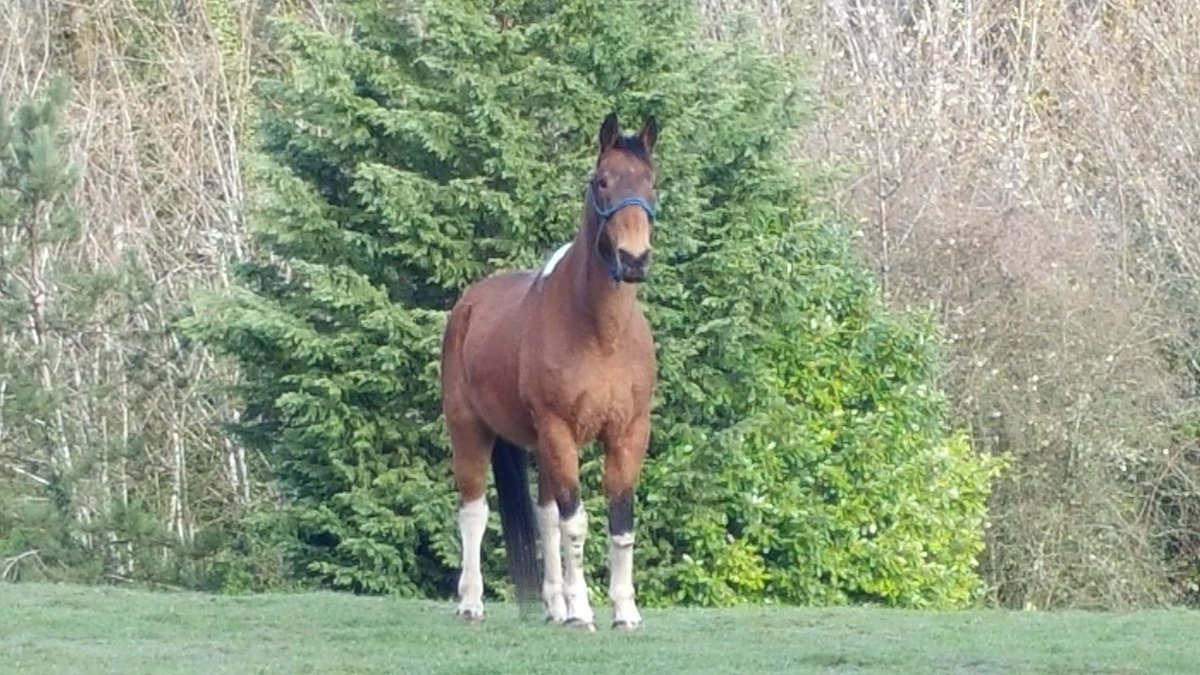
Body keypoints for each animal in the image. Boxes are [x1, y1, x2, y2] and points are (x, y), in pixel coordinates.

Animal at [441, 111, 662, 629]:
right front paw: (583, 611)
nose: (634, 259)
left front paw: (624, 610)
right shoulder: (560, 430)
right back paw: (472, 602)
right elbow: (575, 523)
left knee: (544, 519)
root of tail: (469, 304)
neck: (600, 334)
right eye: (603, 182)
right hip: (470, 430)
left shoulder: (628, 433)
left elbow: (620, 524)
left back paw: (553, 607)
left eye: (651, 181)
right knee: (474, 512)